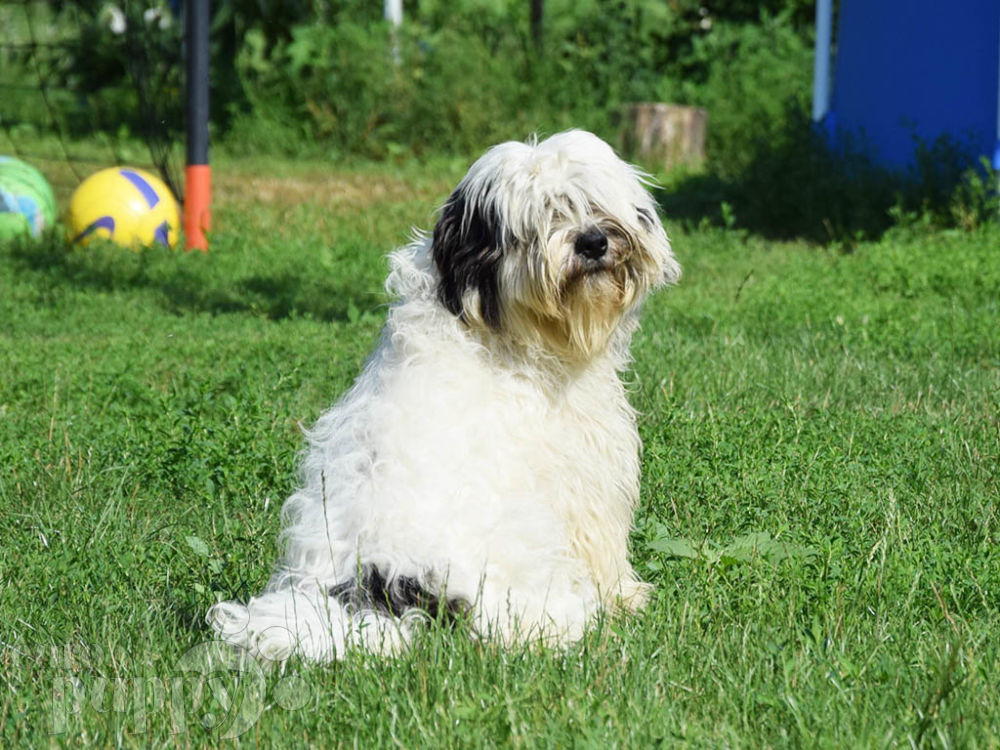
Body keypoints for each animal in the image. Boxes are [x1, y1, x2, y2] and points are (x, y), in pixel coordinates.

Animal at [208, 131, 684, 664]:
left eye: (590, 202)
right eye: (540, 218)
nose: (593, 242)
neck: (501, 331)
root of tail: (377, 588)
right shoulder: (583, 481)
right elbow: (603, 545)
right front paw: (626, 596)